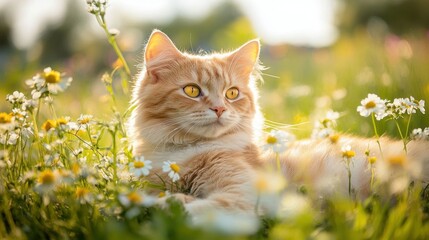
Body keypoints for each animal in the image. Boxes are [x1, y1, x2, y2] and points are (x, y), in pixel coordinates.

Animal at [128, 30, 428, 216]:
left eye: (232, 93)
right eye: (192, 90)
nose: (220, 108)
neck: (181, 153)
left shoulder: (243, 193)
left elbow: (208, 209)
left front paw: (166, 206)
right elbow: (161, 196)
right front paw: (168, 199)